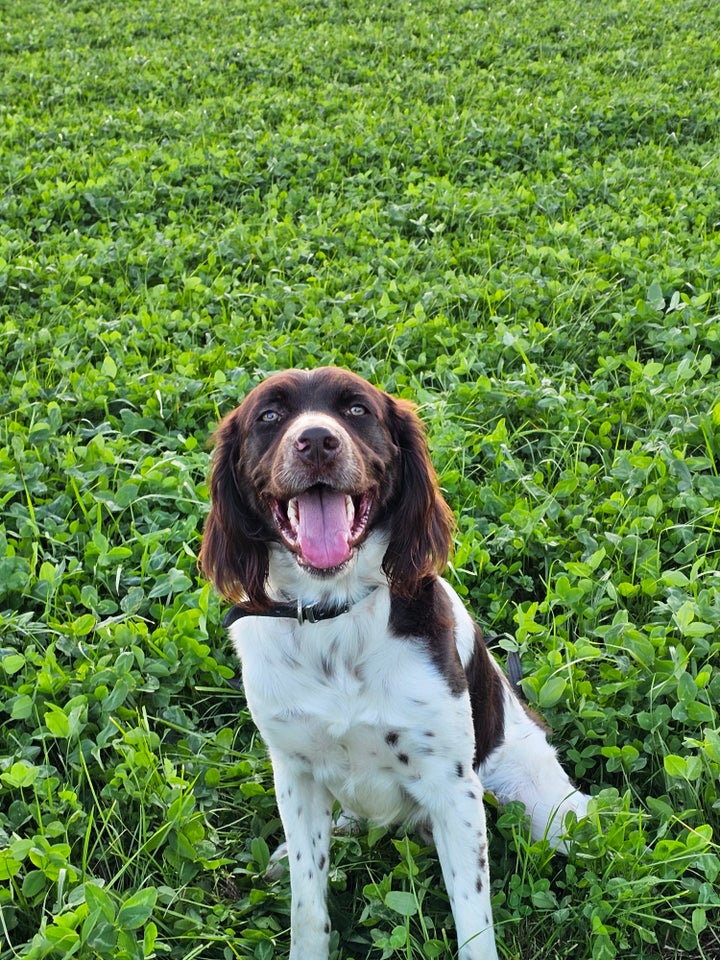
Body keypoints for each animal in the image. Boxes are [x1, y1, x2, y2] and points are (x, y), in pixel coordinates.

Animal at [198, 366, 592, 960]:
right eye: (269, 416)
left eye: (357, 410)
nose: (317, 442)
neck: (333, 614)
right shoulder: (295, 773)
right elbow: (307, 905)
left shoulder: (452, 790)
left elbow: (473, 922)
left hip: (548, 810)